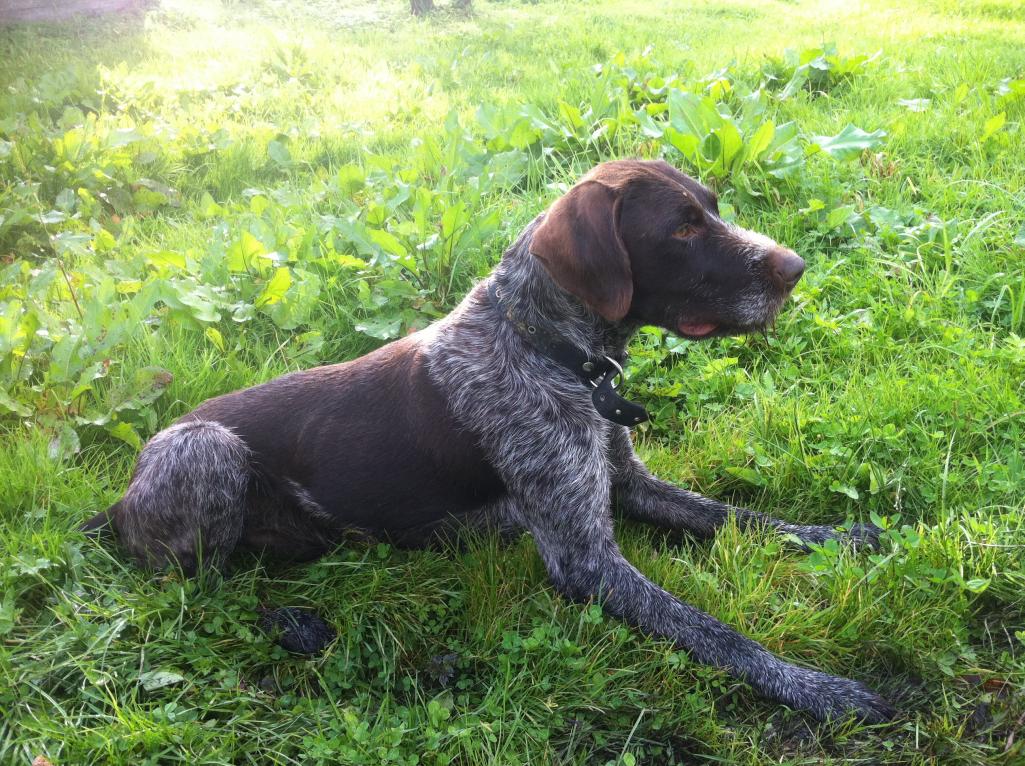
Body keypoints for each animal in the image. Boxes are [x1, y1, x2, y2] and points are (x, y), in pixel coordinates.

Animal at [82, 159, 894, 722]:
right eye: (683, 227)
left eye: (715, 210)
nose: (796, 269)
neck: (548, 350)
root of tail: (116, 501)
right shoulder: (584, 560)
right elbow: (720, 634)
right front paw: (819, 688)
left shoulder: (626, 483)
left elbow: (740, 516)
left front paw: (838, 536)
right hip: (204, 449)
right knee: (197, 590)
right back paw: (295, 624)